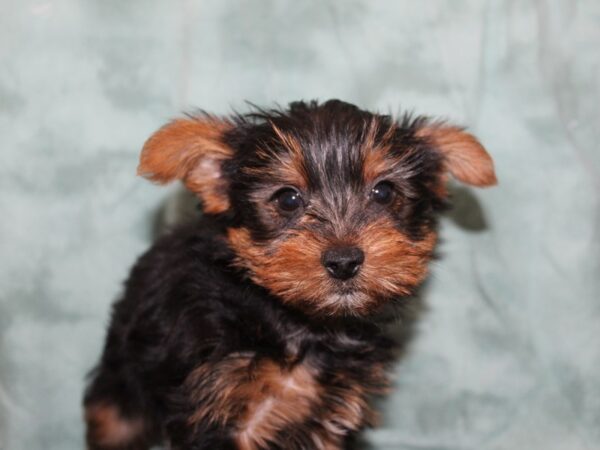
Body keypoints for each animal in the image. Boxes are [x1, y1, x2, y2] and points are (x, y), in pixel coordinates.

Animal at [84, 100, 496, 448]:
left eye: (383, 192)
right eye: (287, 199)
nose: (344, 260)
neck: (300, 322)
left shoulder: (332, 409)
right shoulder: (218, 411)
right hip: (120, 387)